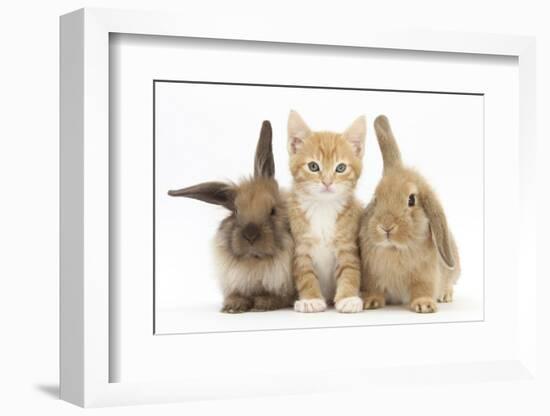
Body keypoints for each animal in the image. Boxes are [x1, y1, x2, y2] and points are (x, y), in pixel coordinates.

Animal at [170, 120, 296, 312]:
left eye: (273, 210)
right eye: (236, 211)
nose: (250, 235)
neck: (255, 263)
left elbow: (279, 297)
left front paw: (263, 303)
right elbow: (235, 295)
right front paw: (233, 306)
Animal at [286, 110, 368, 312]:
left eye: (341, 168)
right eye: (313, 166)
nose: (327, 182)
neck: (323, 207)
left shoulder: (347, 245)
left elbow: (349, 270)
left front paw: (348, 298)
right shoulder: (301, 245)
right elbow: (305, 273)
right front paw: (310, 299)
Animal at [362, 114, 462, 312]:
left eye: (411, 200)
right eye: (375, 199)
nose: (386, 226)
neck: (395, 249)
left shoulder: (424, 275)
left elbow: (422, 289)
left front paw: (424, 305)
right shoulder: (371, 276)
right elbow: (374, 289)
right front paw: (370, 302)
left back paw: (445, 296)